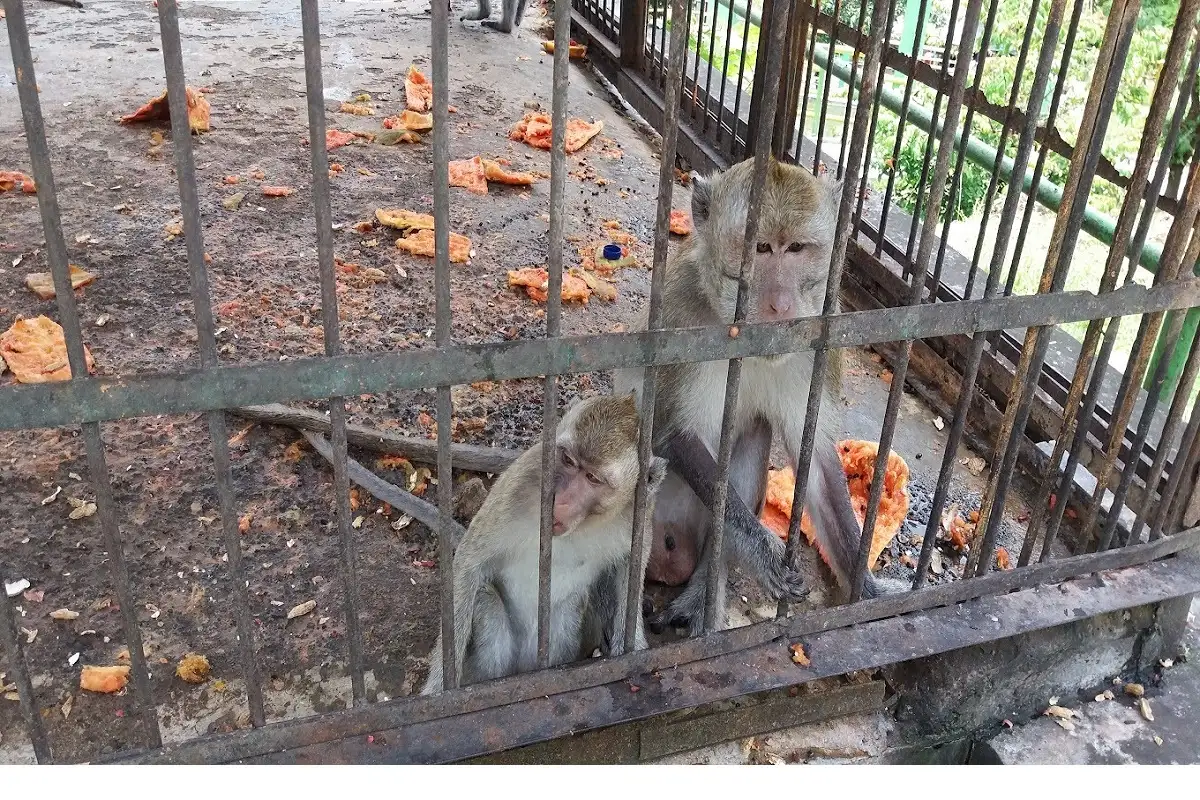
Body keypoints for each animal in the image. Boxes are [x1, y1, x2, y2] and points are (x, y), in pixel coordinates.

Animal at [422, 393, 667, 695]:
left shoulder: (639, 509)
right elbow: (470, 561)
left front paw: (632, 650)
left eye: (593, 478)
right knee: (486, 601)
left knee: (569, 606)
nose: (560, 500)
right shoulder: (521, 482)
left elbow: (629, 569)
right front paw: (437, 689)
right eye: (568, 460)